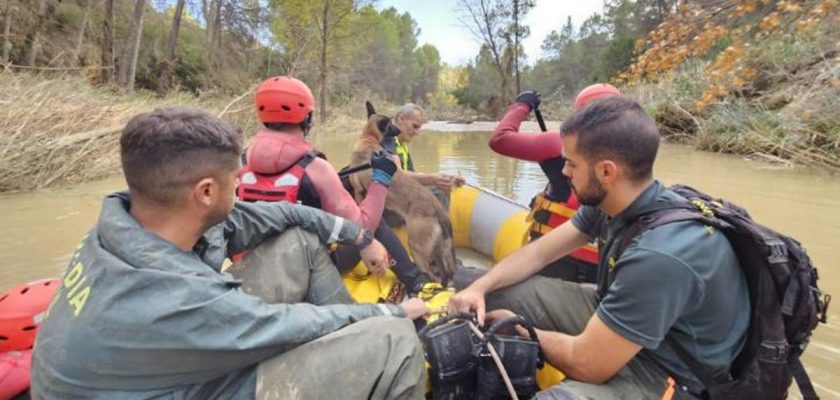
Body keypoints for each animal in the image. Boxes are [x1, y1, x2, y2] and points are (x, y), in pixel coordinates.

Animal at [344, 101, 456, 284]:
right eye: (391, 125)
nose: (398, 130)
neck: (369, 139)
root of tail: (438, 210)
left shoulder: (359, 191)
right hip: (439, 250)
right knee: (445, 274)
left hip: (416, 246)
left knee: (431, 274)